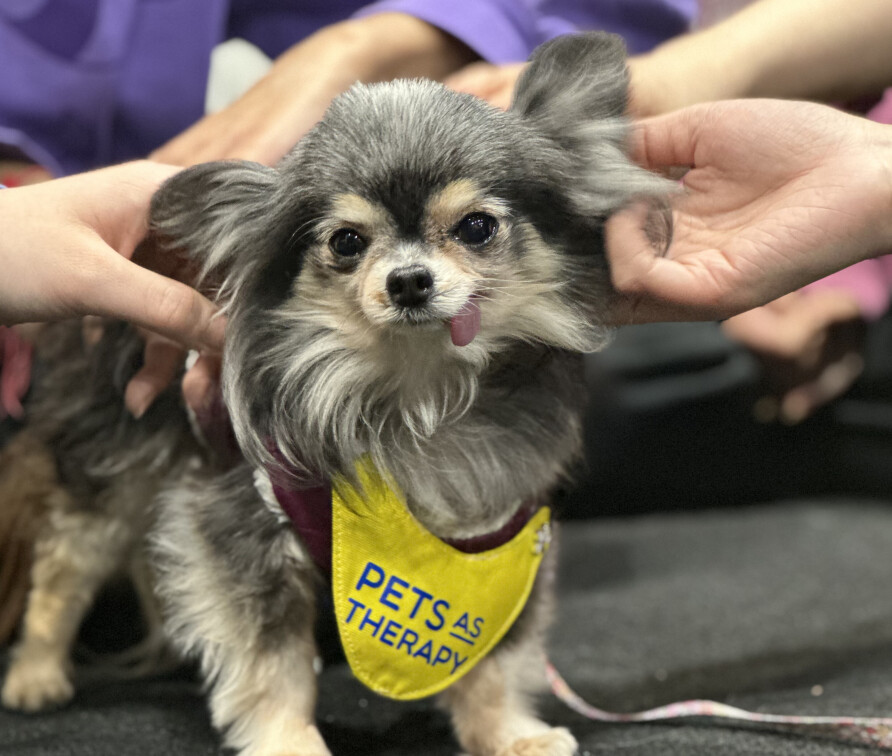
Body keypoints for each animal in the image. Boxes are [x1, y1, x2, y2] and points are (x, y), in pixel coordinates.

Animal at [1, 34, 664, 756]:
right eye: (346, 242)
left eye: (476, 227)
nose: (408, 280)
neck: (412, 392)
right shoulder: (241, 521)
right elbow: (271, 663)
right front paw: (289, 741)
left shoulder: (500, 531)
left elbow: (495, 650)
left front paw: (509, 732)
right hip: (111, 465)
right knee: (65, 566)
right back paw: (36, 672)